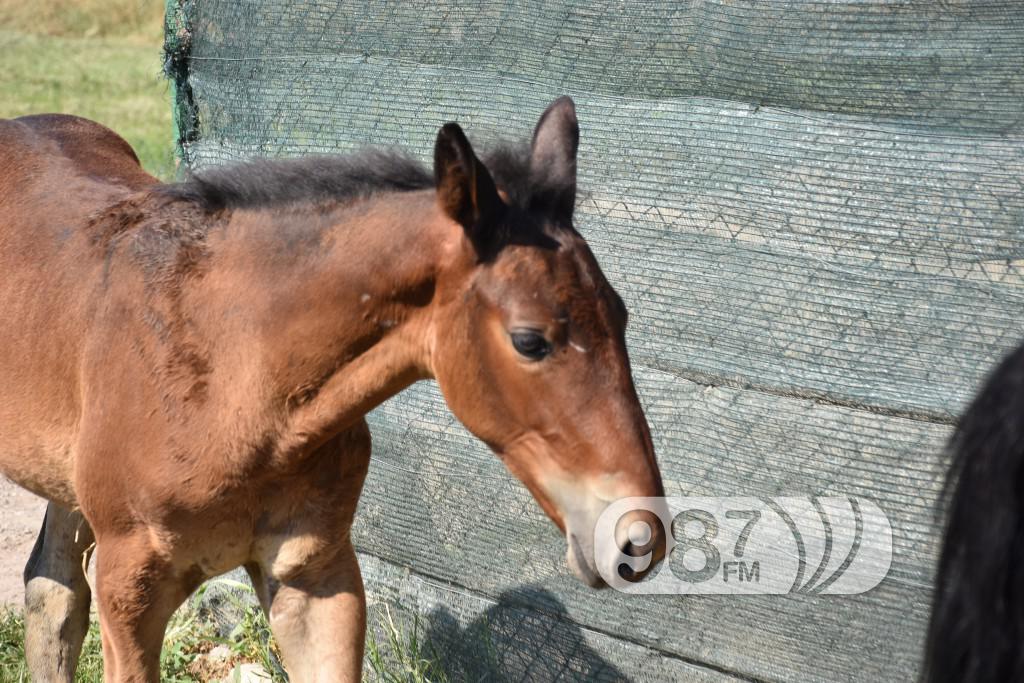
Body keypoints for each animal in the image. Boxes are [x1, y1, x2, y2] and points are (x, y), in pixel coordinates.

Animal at [0, 97, 663, 683]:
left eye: (622, 315)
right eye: (529, 340)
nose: (636, 539)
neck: (237, 380)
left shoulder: (314, 575)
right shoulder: (130, 587)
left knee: (52, 588)